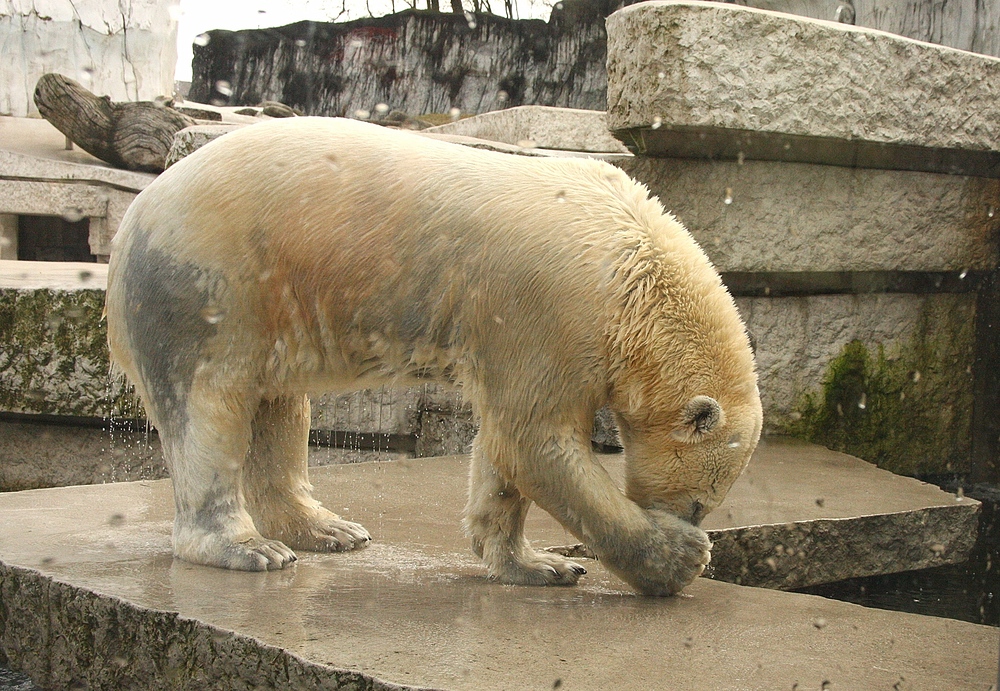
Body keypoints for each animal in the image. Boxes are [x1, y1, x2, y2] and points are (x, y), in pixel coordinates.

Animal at [105, 116, 760, 596]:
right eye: (699, 502)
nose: (690, 522)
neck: (633, 270)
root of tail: (131, 220)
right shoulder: (551, 308)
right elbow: (533, 438)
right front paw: (675, 559)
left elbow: (504, 447)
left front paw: (538, 564)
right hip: (207, 284)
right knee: (209, 408)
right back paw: (247, 547)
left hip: (270, 303)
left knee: (279, 405)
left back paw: (329, 528)